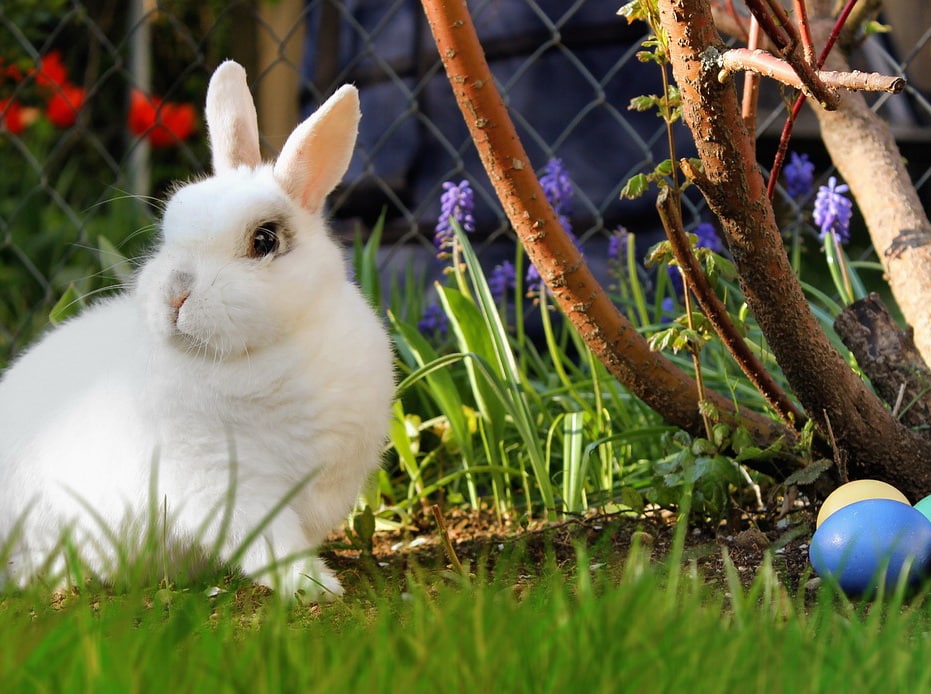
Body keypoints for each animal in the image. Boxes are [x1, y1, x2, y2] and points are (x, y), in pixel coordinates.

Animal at [0, 61, 396, 604]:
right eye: (170, 229)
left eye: (265, 240)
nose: (175, 294)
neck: (264, 354)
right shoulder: (223, 484)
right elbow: (270, 541)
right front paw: (314, 586)